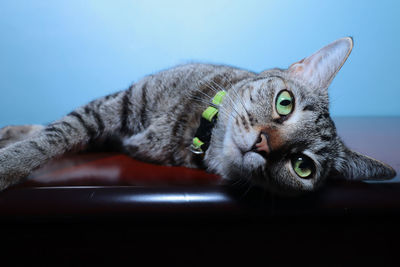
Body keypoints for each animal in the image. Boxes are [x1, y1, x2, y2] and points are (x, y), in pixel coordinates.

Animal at [0, 37, 396, 195]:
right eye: (285, 103)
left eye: (303, 166)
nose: (263, 145)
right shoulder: (116, 104)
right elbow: (53, 136)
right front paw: (10, 160)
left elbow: (56, 133)